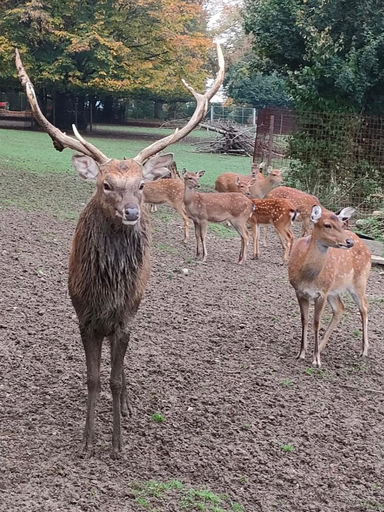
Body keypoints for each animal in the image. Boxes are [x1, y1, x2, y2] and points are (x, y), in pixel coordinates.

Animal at [15, 45, 225, 456]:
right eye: (106, 184)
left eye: (141, 185)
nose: (131, 213)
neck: (106, 291)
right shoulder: (84, 316)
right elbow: (93, 380)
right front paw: (87, 440)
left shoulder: (125, 315)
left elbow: (112, 379)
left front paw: (117, 443)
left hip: (138, 302)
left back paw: (127, 403)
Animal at [290, 205, 370, 368]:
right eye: (327, 225)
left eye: (342, 224)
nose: (349, 242)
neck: (308, 277)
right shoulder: (299, 291)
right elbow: (304, 320)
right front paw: (301, 353)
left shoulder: (321, 293)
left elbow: (316, 323)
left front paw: (316, 360)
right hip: (333, 290)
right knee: (340, 308)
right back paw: (321, 347)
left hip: (359, 281)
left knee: (364, 307)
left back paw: (364, 350)